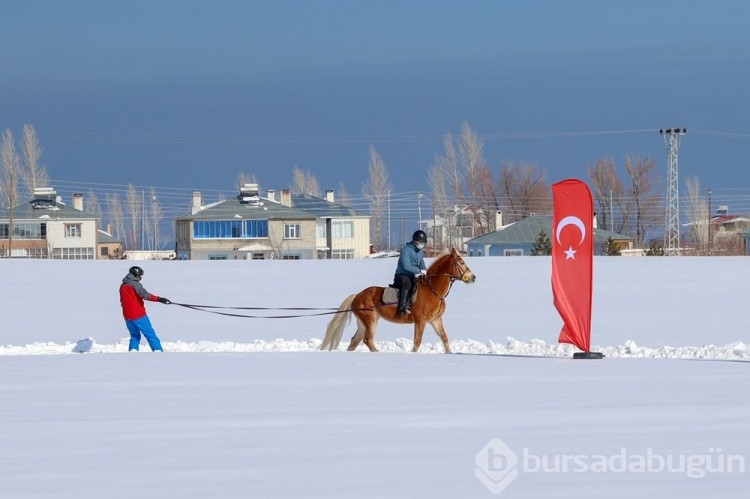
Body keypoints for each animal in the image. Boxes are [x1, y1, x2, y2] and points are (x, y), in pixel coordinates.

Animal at [320, 248, 478, 354]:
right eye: (461, 262)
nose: (473, 277)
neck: (433, 290)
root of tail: (357, 295)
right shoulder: (420, 321)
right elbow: (417, 341)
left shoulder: (436, 320)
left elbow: (444, 338)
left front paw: (449, 353)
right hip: (370, 321)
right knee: (367, 340)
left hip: (364, 323)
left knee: (355, 341)